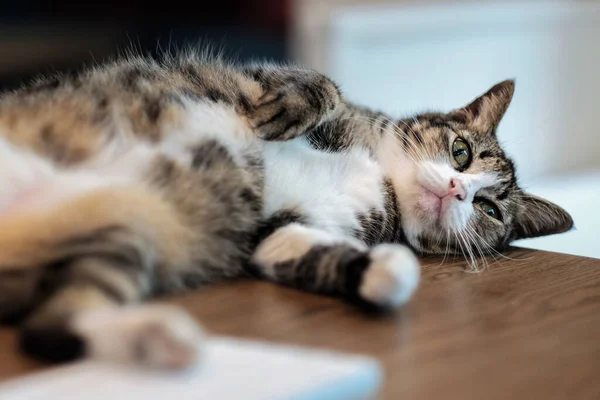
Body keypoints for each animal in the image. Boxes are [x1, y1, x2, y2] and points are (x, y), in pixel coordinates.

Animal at [0, 50, 576, 368]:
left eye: (491, 210)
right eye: (460, 152)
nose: (458, 191)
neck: (381, 176)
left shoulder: (279, 233)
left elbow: (322, 257)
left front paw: (385, 269)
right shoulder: (267, 78)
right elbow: (323, 84)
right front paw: (282, 112)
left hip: (125, 230)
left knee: (48, 327)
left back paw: (163, 339)